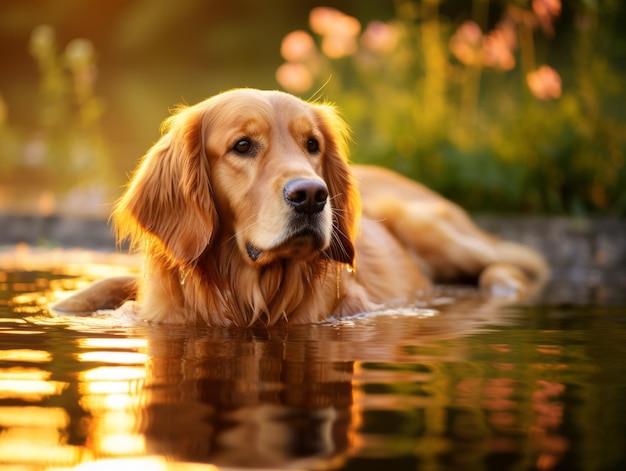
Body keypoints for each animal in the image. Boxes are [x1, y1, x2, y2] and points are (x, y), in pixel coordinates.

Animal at [50, 88, 544, 326]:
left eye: (312, 145)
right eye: (243, 145)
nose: (311, 195)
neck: (249, 294)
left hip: (430, 227)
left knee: (515, 266)